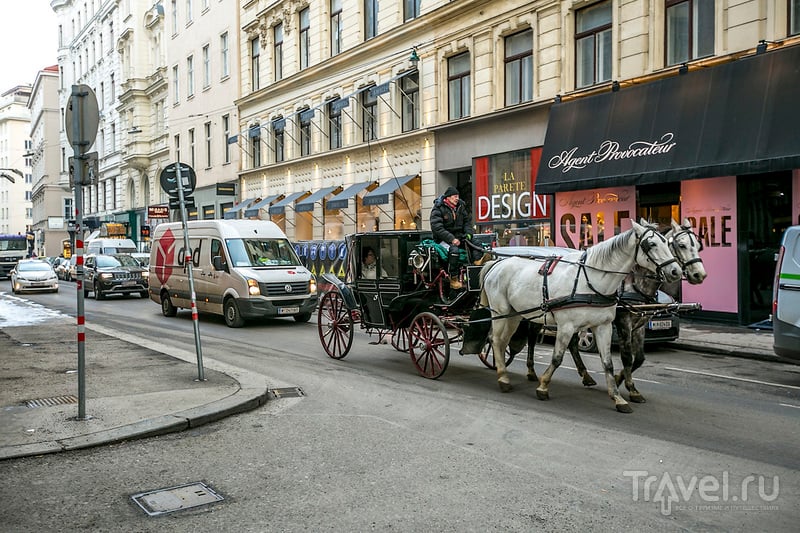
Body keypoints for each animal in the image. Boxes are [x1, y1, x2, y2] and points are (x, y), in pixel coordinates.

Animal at [478, 218, 684, 414]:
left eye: (666, 242)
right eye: (651, 244)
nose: (676, 271)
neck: (591, 279)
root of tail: (496, 263)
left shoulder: (603, 326)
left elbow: (608, 363)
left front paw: (618, 398)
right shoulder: (566, 326)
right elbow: (557, 358)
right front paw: (543, 386)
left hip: (514, 315)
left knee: (502, 341)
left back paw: (504, 371)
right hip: (501, 312)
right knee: (496, 340)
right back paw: (503, 378)